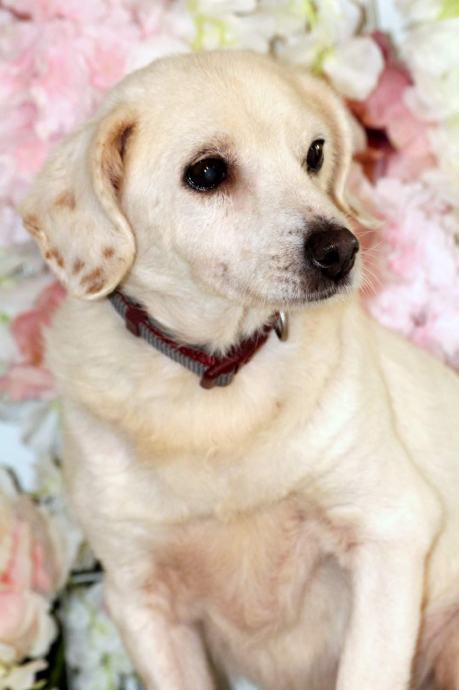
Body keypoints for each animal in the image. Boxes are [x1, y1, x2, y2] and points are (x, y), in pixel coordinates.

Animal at [22, 51, 459, 690]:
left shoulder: (390, 526)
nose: (342, 250)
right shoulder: (141, 596)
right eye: (207, 172)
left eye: (315, 153)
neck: (218, 377)